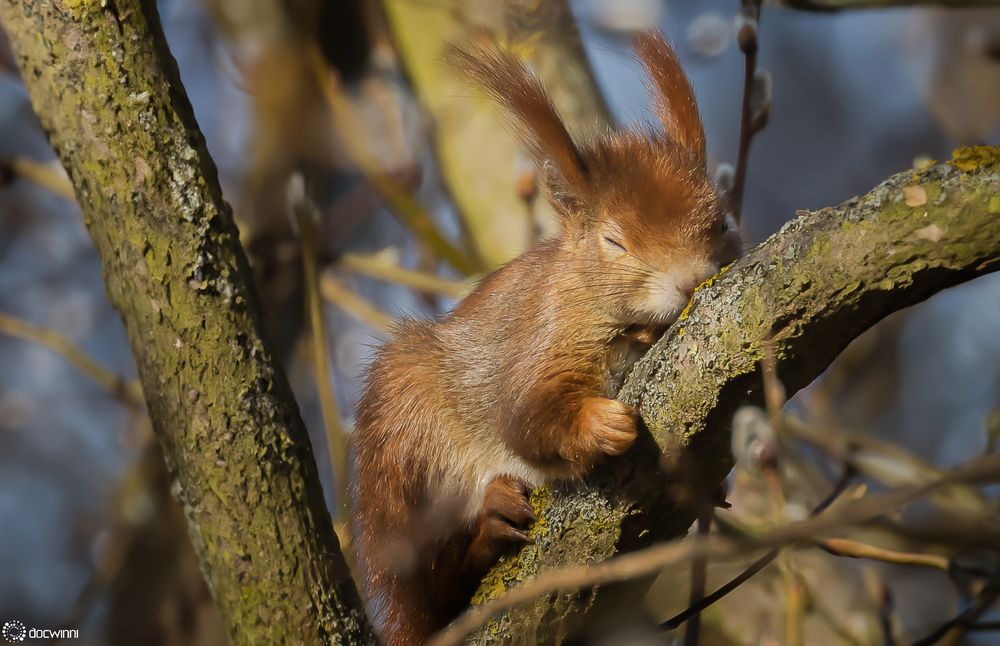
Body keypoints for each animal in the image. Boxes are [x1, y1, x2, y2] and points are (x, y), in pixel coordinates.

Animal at [352, 33, 744, 644]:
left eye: (722, 223)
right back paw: (489, 524)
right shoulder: (541, 338)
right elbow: (528, 416)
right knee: (431, 590)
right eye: (614, 241)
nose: (688, 281)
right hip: (401, 461)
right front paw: (601, 424)